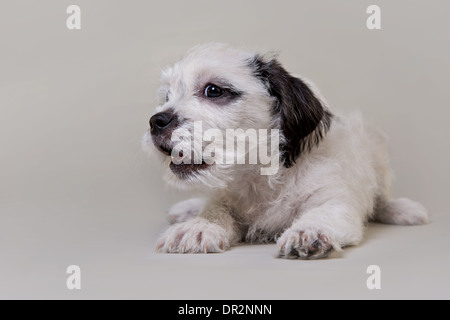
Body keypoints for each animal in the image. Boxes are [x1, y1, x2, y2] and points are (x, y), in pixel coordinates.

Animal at [142, 42, 428, 258]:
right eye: (166, 97)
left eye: (213, 90)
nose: (156, 121)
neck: (262, 177)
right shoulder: (225, 198)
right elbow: (215, 209)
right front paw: (198, 226)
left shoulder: (333, 198)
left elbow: (323, 212)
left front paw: (308, 231)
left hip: (378, 161)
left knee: (381, 199)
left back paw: (402, 210)